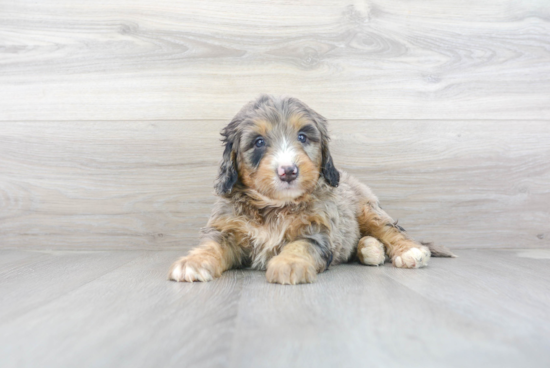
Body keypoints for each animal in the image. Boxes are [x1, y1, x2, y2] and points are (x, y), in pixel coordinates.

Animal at [170, 95, 454, 284]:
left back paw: (408, 251)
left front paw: (288, 264)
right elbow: (211, 244)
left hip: (366, 207)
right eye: (259, 142)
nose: (288, 171)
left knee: (388, 228)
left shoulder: (317, 230)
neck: (274, 207)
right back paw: (370, 250)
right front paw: (192, 263)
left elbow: (300, 245)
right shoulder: (226, 229)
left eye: (303, 137)